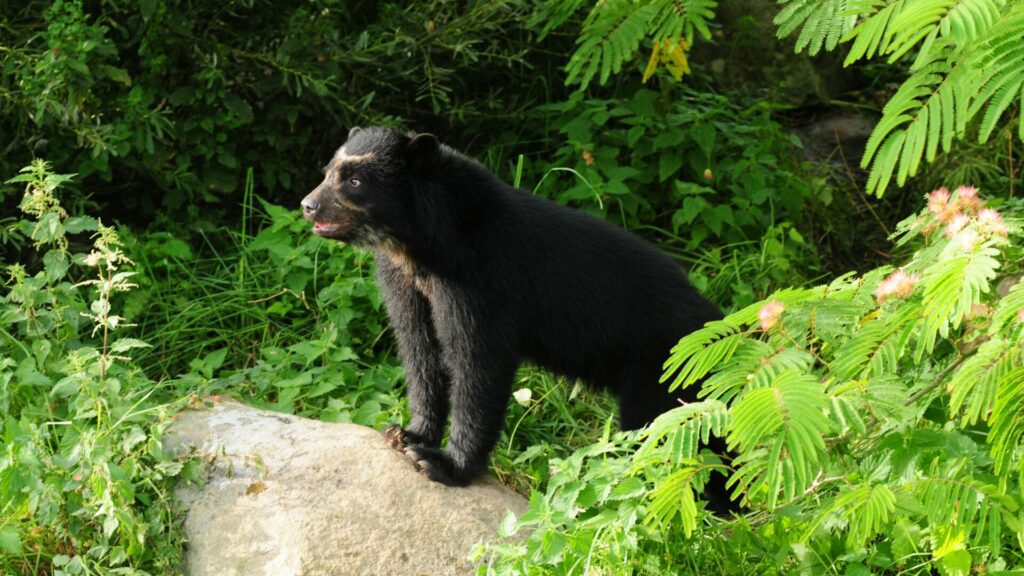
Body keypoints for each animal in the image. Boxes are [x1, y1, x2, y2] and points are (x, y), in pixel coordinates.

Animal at [299, 126, 733, 506]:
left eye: (355, 181)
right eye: (328, 172)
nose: (307, 205)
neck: (422, 247)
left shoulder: (480, 282)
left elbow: (477, 364)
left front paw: (442, 464)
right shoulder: (405, 284)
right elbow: (420, 350)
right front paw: (406, 434)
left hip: (662, 373)